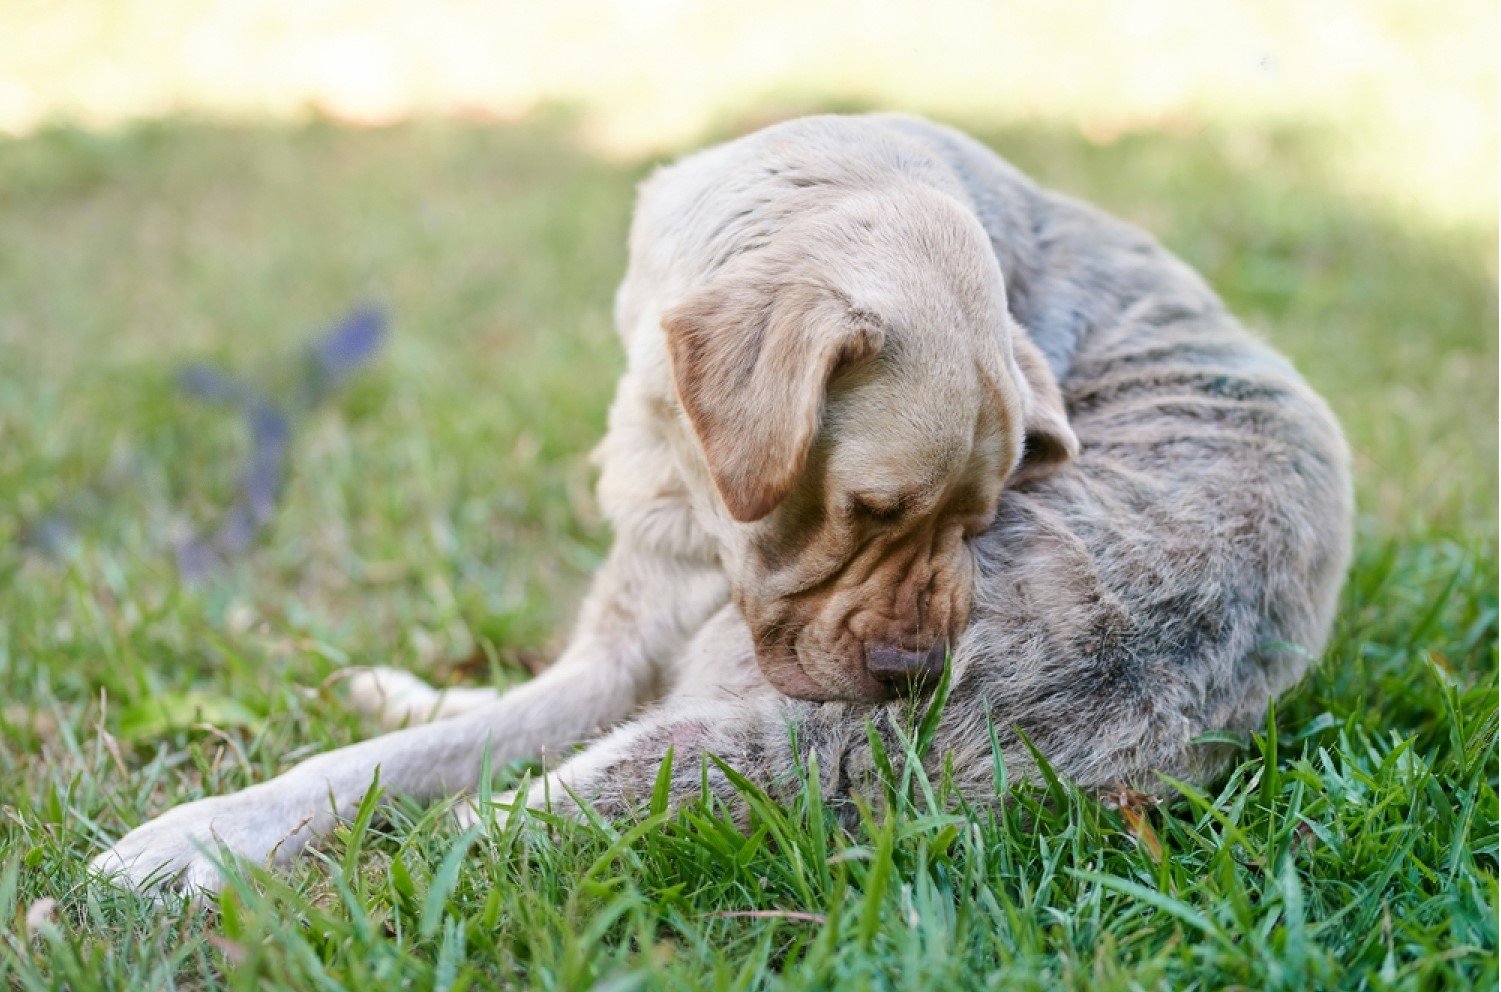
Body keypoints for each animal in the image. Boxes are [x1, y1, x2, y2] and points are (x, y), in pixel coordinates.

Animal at [93, 112, 1362, 894]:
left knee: (458, 830)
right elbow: (395, 754)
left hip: (722, 737)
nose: (916, 673)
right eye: (869, 506)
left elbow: (419, 776)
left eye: (984, 516)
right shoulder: (626, 633)